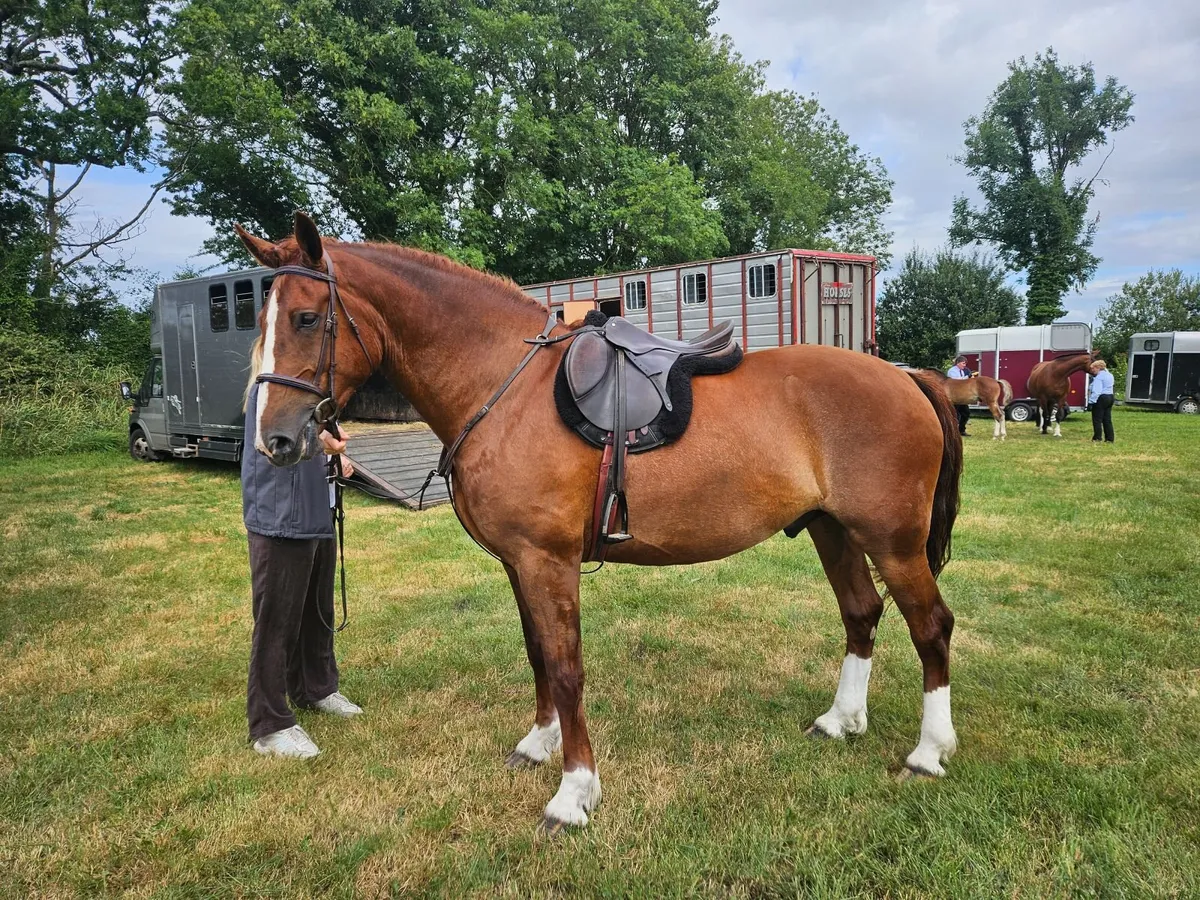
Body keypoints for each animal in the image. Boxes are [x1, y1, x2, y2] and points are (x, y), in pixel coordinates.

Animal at [239, 212, 964, 833]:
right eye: (261, 322)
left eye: (306, 317)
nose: (274, 440)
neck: (502, 382)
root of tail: (906, 377)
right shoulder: (520, 563)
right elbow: (537, 653)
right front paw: (539, 742)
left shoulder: (547, 561)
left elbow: (566, 667)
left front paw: (574, 792)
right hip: (831, 530)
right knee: (862, 613)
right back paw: (841, 719)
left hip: (894, 542)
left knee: (931, 626)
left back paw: (929, 751)